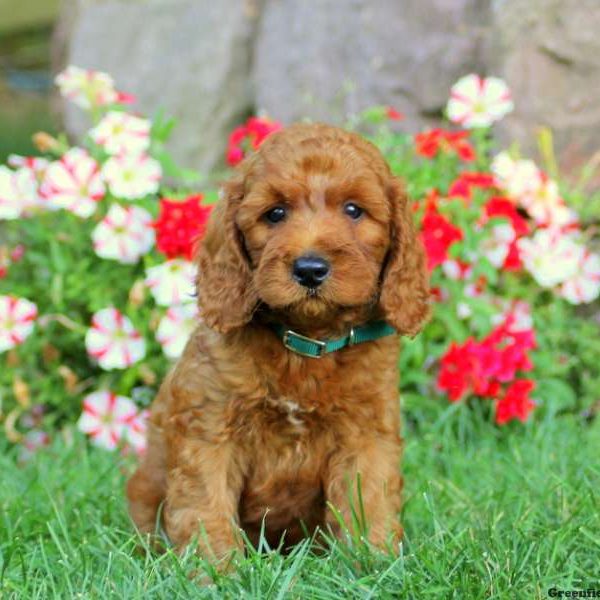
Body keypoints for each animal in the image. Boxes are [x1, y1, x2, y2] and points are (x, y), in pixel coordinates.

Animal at [126, 123, 428, 564]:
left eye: (354, 210)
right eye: (275, 213)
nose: (310, 269)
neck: (307, 343)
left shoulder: (367, 433)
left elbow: (367, 501)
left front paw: (374, 562)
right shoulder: (210, 429)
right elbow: (205, 505)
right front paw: (216, 569)